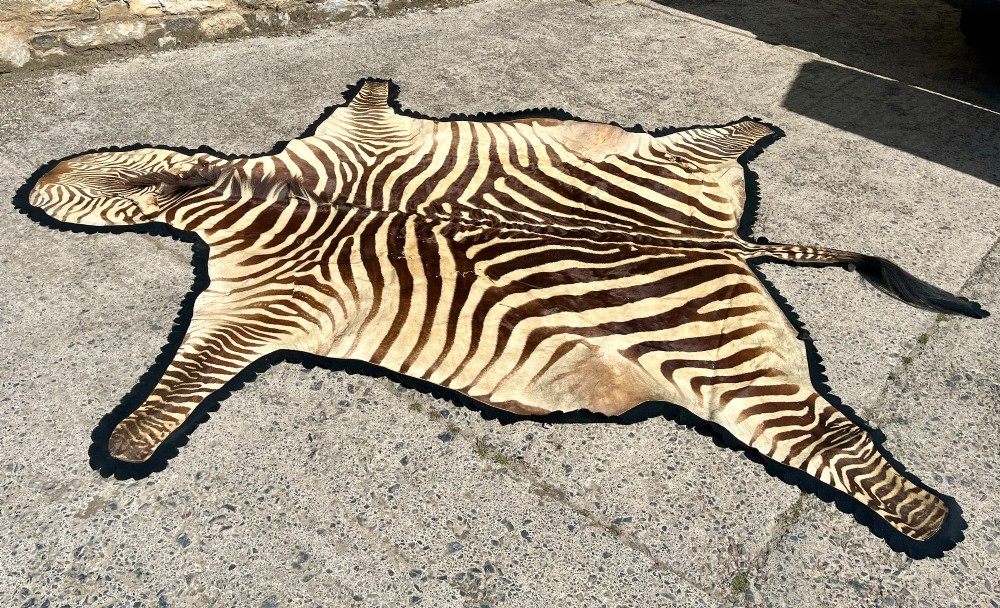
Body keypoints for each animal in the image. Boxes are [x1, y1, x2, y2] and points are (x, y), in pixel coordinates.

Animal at [25, 78, 985, 548]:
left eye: (72, 183)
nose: (28, 186)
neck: (257, 190)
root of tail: (718, 240)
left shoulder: (255, 301)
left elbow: (176, 384)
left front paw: (121, 447)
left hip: (715, 360)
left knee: (828, 438)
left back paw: (933, 524)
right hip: (672, 183)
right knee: (716, 147)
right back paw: (755, 126)